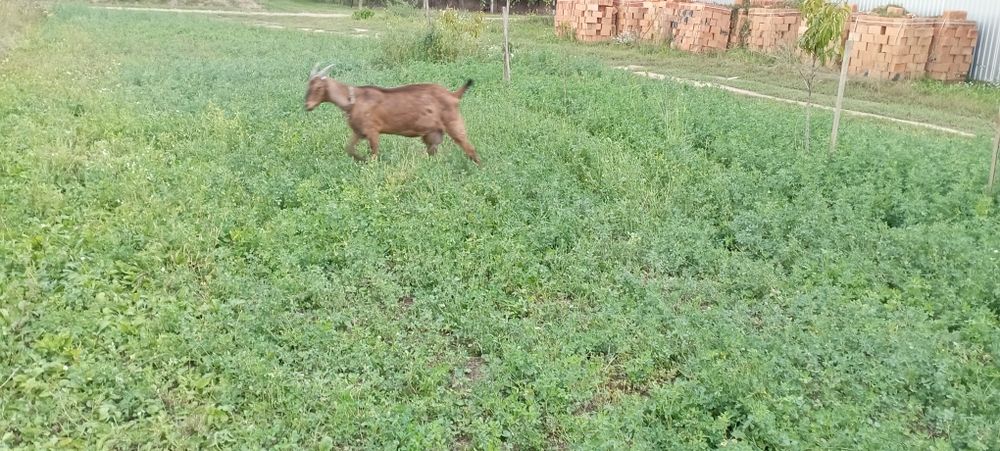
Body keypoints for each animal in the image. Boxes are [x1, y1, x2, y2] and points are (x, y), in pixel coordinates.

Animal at [304, 63, 481, 165]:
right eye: (308, 85)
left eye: (319, 87)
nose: (307, 106)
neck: (352, 100)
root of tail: (453, 95)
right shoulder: (359, 131)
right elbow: (349, 149)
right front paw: (361, 160)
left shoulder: (373, 131)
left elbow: (374, 154)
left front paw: (369, 165)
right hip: (432, 133)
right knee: (433, 152)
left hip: (454, 123)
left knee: (470, 149)